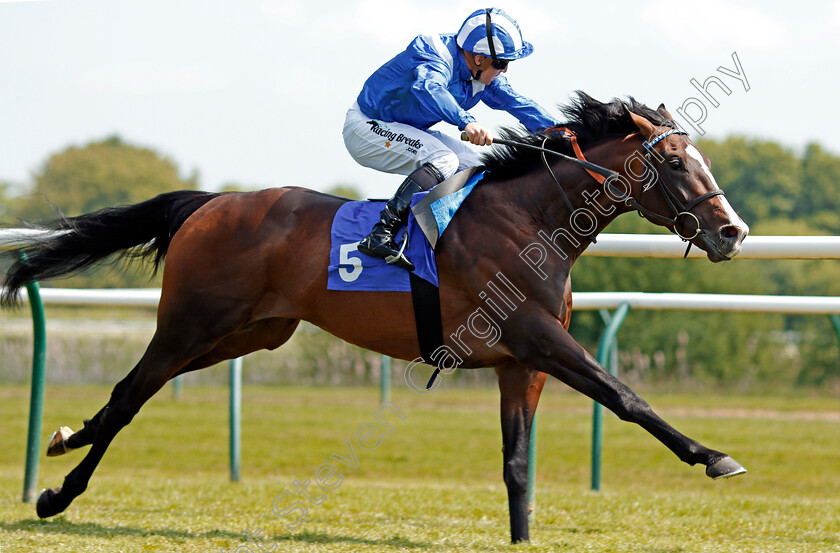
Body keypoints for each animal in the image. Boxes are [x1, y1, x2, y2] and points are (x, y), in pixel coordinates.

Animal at [0, 92, 748, 540]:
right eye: (676, 163)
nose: (733, 232)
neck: (530, 219)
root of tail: (211, 202)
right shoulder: (539, 339)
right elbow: (626, 397)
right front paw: (714, 455)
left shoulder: (521, 361)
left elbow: (518, 462)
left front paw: (522, 536)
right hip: (190, 322)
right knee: (131, 394)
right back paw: (56, 495)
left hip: (249, 333)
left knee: (132, 392)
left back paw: (65, 440)